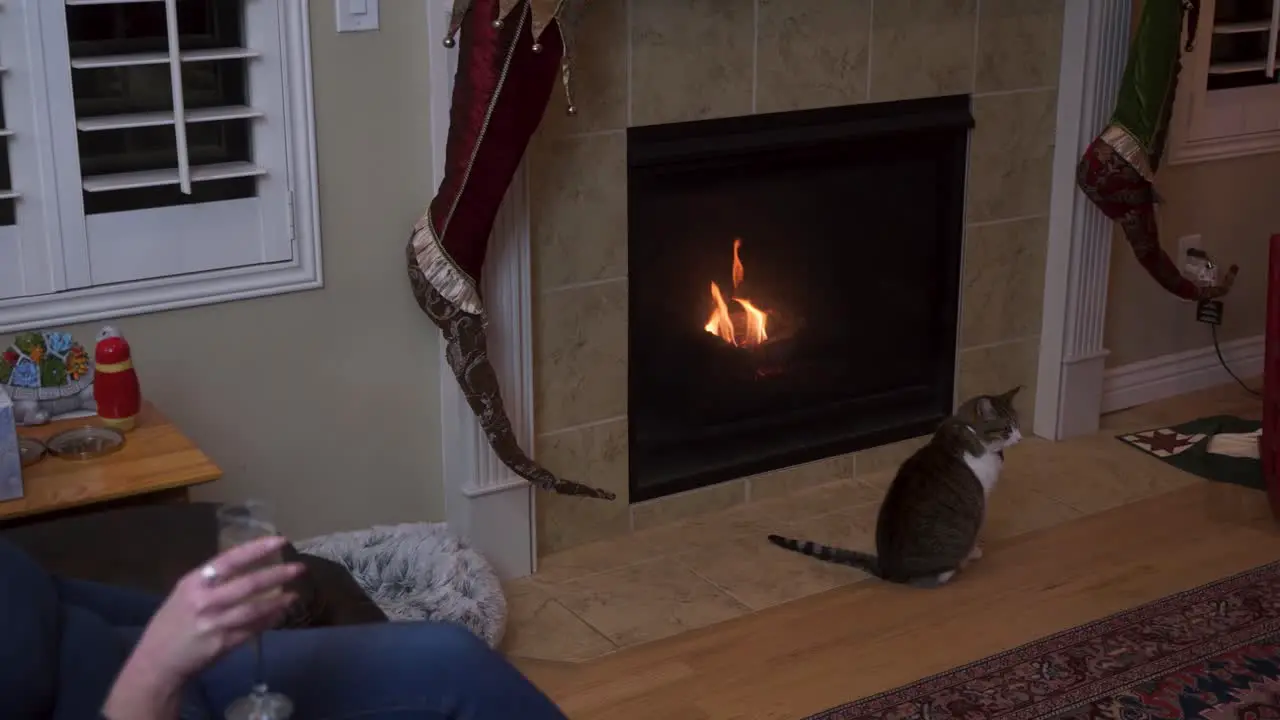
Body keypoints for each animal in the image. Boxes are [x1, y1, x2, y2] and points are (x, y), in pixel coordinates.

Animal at [762, 384, 1024, 586]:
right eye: (1007, 428)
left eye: (1018, 424)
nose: (1020, 437)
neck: (969, 430)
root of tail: (887, 568)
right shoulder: (980, 500)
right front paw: (975, 552)